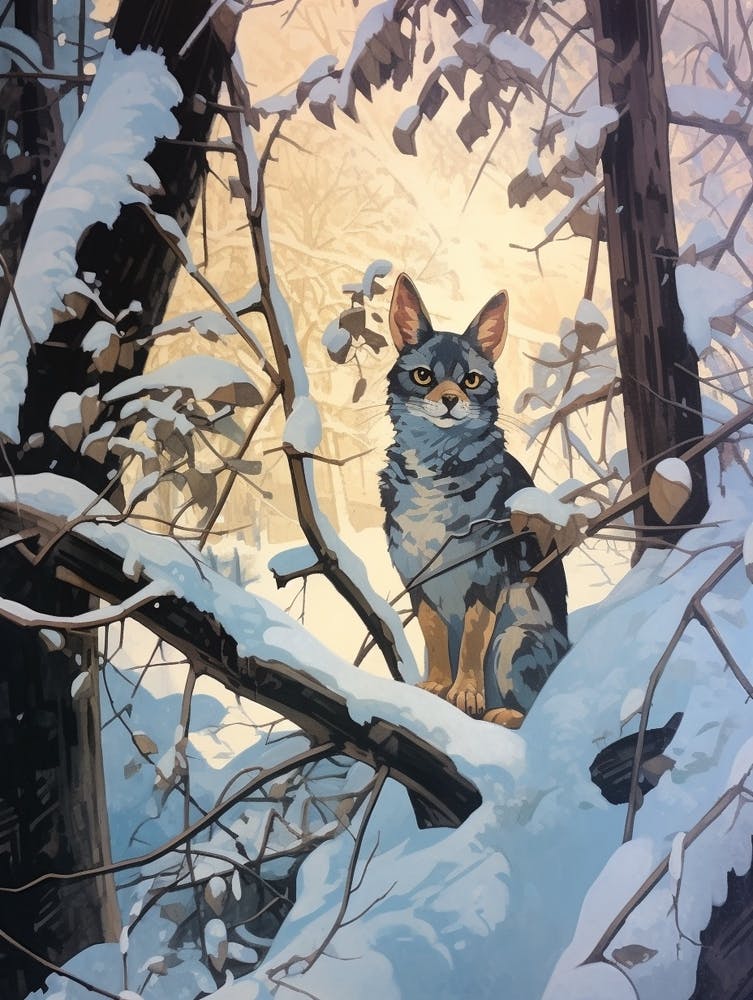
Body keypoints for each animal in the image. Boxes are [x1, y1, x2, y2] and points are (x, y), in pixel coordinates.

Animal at [380, 274, 568, 728]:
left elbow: (471, 639)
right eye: (423, 376)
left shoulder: (487, 578)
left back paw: (499, 713)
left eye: (471, 381)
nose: (450, 400)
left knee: (528, 713)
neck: (436, 469)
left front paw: (466, 694)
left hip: (517, 634)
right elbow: (435, 634)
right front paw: (435, 688)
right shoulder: (418, 579)